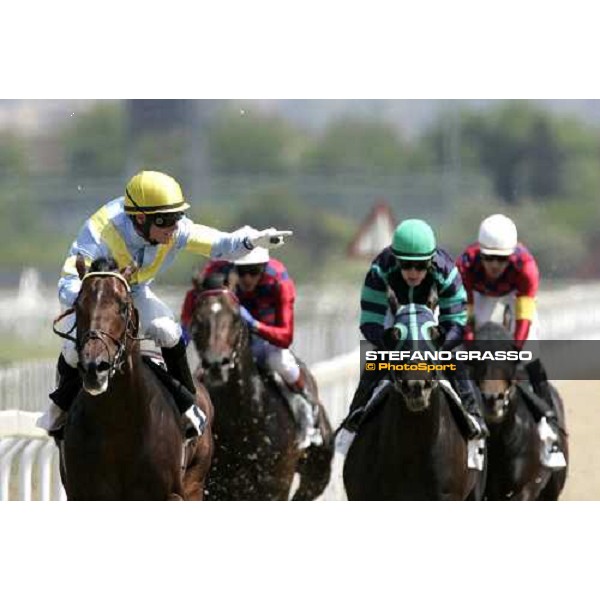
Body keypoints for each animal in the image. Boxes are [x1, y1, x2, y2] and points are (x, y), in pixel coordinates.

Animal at [54, 255, 213, 500]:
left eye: (122, 306)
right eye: (78, 306)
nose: (94, 368)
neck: (117, 424)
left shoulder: (169, 494)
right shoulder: (82, 492)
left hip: (195, 482)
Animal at [191, 284, 332, 500]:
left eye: (236, 317)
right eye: (197, 317)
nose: (216, 364)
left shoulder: (276, 484)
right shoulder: (216, 486)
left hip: (316, 476)